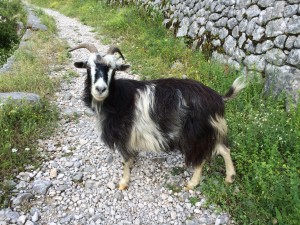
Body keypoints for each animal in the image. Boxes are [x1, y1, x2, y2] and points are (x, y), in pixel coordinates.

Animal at [69, 43, 246, 190]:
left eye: (113, 69)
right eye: (88, 67)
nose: (100, 89)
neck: (116, 98)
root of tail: (218, 98)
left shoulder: (123, 134)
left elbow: (125, 159)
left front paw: (123, 182)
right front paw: (132, 164)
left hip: (196, 133)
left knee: (200, 158)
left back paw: (192, 183)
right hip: (210, 129)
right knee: (224, 148)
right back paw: (230, 177)